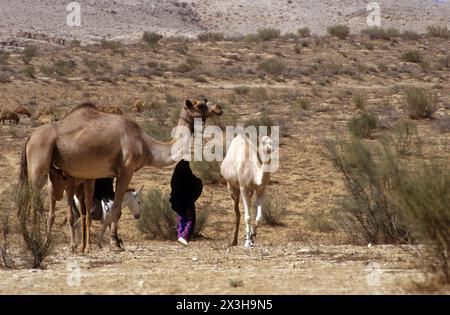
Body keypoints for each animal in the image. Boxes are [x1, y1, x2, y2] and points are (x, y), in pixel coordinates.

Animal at [19, 100, 223, 253]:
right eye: (201, 104)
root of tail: (30, 138)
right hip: (39, 161)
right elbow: (116, 209)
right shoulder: (126, 170)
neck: (146, 145)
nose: (218, 108)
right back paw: (35, 240)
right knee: (33, 200)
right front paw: (113, 242)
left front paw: (107, 242)